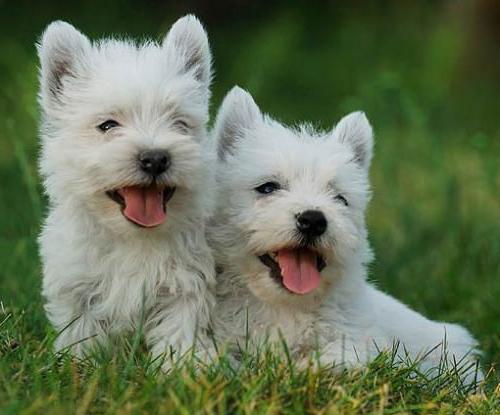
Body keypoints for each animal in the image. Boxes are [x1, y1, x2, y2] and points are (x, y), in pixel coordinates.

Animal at [38, 17, 218, 368]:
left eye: (179, 123)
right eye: (108, 125)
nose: (156, 158)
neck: (133, 238)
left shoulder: (185, 286)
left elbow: (180, 331)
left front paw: (181, 369)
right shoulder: (77, 287)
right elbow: (82, 334)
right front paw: (80, 367)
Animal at [210, 87, 480, 384]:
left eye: (340, 198)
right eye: (267, 187)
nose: (313, 220)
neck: (284, 306)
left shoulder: (352, 343)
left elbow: (332, 361)